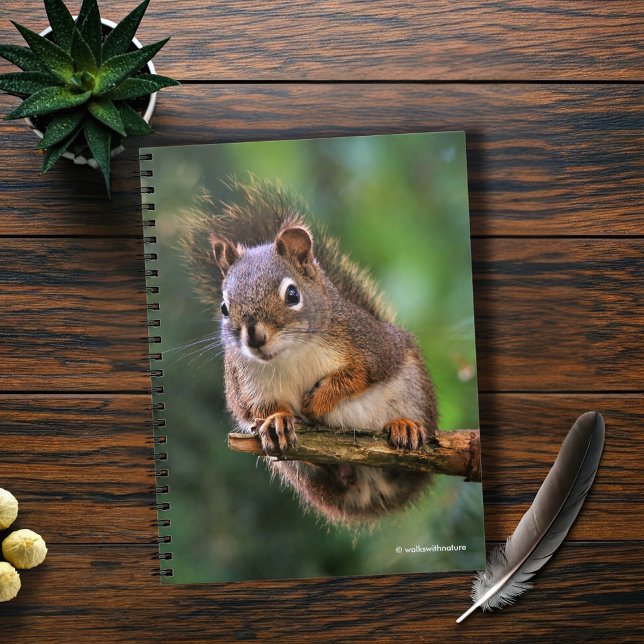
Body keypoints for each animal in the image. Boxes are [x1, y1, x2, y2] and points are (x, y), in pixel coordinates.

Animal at [180, 178, 438, 526]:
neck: (290, 355)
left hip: (414, 388)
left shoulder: (371, 346)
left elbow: (358, 376)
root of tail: (373, 492)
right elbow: (253, 410)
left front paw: (318, 400)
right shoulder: (242, 385)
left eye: (292, 294)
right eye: (224, 308)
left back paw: (404, 427)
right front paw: (276, 420)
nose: (254, 337)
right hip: (299, 471)